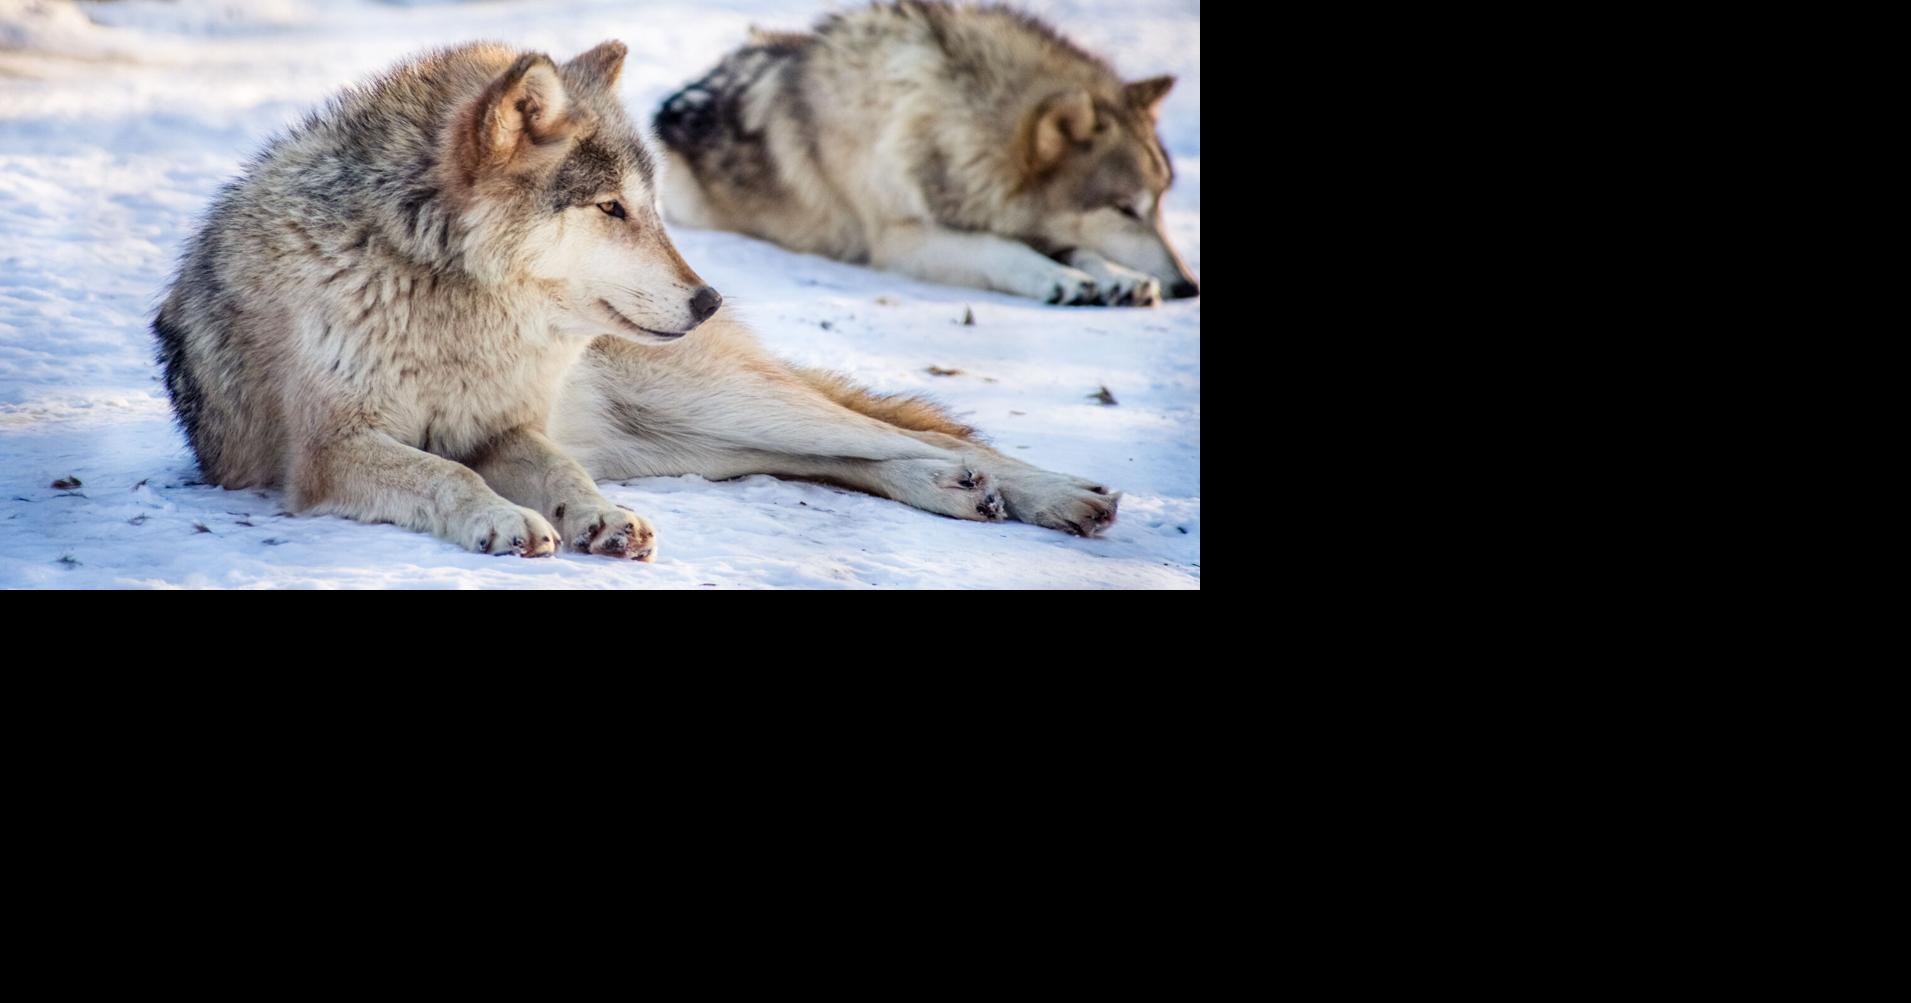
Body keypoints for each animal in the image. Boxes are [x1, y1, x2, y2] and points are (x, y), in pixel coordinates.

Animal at [155, 40, 1118, 560]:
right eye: (610, 209)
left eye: (650, 208)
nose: (708, 298)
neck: (447, 296)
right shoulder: (331, 451)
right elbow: (444, 471)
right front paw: (509, 520)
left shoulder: (508, 428)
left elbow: (555, 471)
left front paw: (600, 518)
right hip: (700, 442)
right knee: (853, 455)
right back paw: (962, 491)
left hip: (723, 401)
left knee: (911, 433)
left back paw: (1053, 492)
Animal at [654, 1, 1199, 307]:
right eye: (1124, 209)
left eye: (1159, 204)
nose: (1189, 286)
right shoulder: (900, 239)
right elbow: (997, 248)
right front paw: (1060, 280)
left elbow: (1072, 246)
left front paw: (1118, 279)